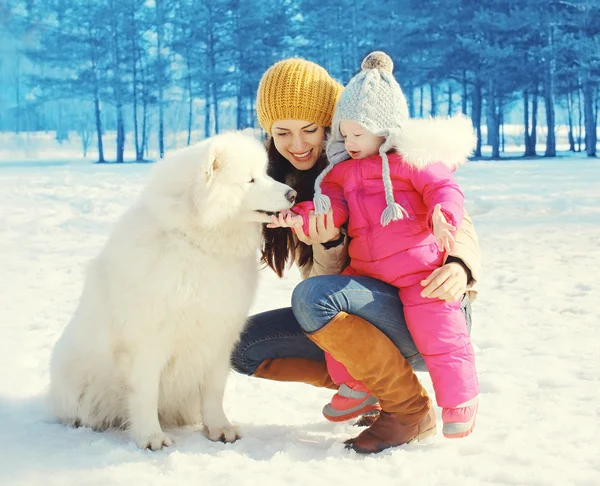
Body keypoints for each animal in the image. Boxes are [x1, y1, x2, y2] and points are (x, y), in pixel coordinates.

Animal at [48, 131, 296, 450]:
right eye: (250, 180)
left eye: (265, 174)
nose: (292, 194)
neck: (198, 244)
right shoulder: (147, 342)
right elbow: (145, 393)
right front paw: (150, 437)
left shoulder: (219, 339)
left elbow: (214, 390)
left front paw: (219, 429)